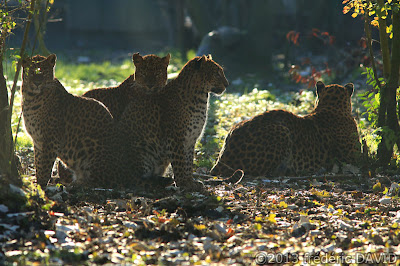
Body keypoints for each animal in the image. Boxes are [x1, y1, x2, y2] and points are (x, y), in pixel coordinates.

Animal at [117, 55, 228, 191]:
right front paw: (183, 183)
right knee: (135, 180)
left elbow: (188, 162)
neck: (201, 98)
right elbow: (180, 162)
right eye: (217, 73)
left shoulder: (191, 139)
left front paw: (190, 182)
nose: (227, 84)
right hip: (142, 151)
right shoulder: (176, 137)